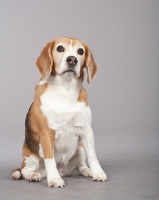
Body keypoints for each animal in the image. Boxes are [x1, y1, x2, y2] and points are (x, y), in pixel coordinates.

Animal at [11, 36, 107, 188]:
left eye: (80, 51)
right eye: (60, 48)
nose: (72, 59)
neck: (65, 90)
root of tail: (64, 170)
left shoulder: (86, 130)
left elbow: (93, 155)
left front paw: (97, 172)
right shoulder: (46, 133)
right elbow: (50, 159)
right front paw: (54, 179)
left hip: (80, 149)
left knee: (80, 166)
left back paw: (87, 170)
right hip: (31, 157)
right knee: (25, 170)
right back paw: (34, 175)